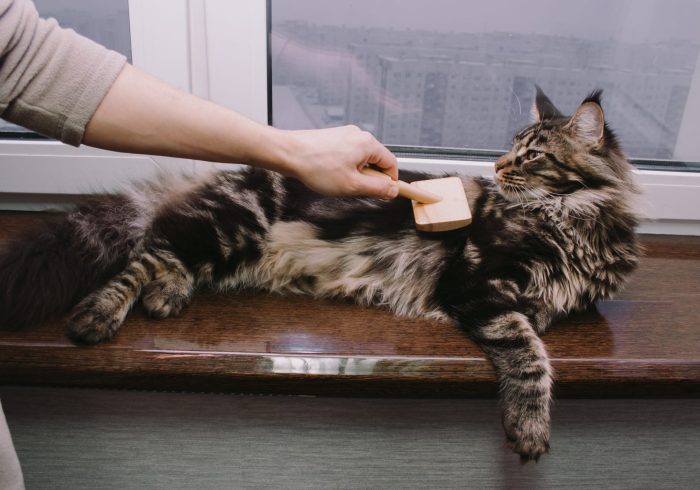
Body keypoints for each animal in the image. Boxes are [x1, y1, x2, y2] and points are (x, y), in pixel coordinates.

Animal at [0, 89, 636, 464]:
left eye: (532, 156)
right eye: (513, 150)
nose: (499, 168)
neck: (574, 224)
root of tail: (215, 179)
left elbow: (540, 325)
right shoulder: (478, 285)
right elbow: (528, 353)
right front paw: (529, 424)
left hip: (225, 246)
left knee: (167, 256)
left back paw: (167, 296)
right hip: (231, 226)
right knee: (144, 255)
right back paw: (97, 315)